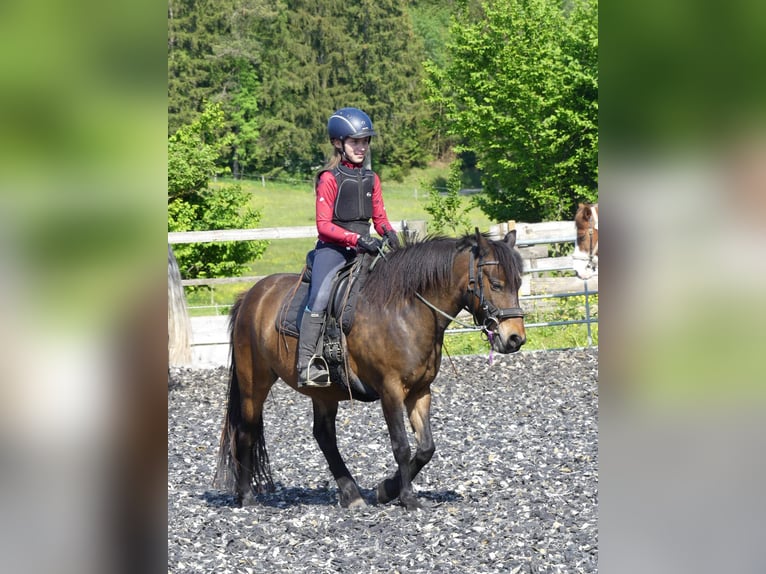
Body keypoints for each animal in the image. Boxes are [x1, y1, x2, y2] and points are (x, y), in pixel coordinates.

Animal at [213, 229, 527, 510]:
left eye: (518, 283)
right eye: (496, 284)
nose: (515, 338)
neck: (406, 311)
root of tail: (251, 295)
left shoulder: (420, 391)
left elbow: (426, 447)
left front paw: (386, 489)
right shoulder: (390, 390)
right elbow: (401, 445)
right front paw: (407, 498)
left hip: (324, 392)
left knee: (324, 436)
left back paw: (351, 494)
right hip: (254, 382)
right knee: (245, 431)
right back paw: (246, 497)